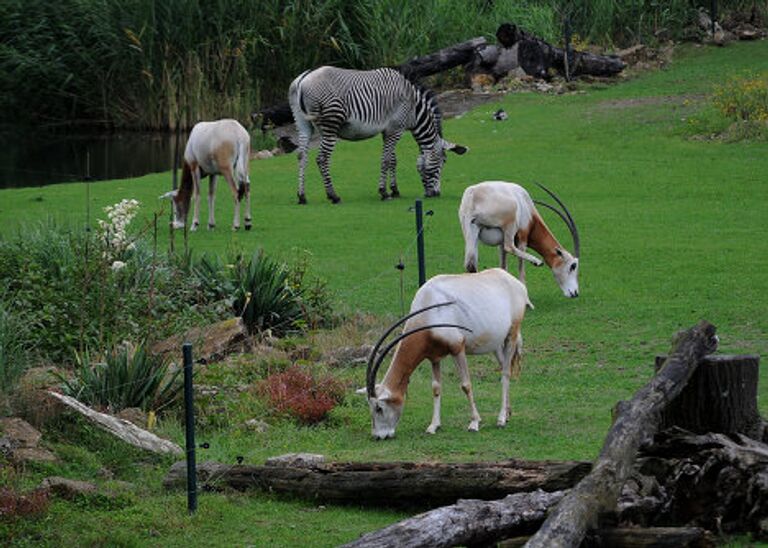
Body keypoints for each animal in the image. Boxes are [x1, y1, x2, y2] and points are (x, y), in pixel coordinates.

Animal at [288, 66, 468, 203]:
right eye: (443, 162)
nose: (435, 194)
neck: (414, 110)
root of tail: (303, 80)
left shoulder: (389, 130)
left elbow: (393, 160)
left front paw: (395, 190)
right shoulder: (396, 129)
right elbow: (386, 160)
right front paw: (384, 192)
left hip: (302, 123)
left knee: (301, 156)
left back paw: (302, 196)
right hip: (331, 123)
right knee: (322, 158)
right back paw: (333, 195)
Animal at [362, 270, 532, 440]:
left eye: (379, 408)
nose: (377, 436)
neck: (428, 306)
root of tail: (515, 282)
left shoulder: (458, 348)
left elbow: (466, 385)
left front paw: (474, 422)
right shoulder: (434, 356)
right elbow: (436, 388)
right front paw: (433, 425)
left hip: (511, 335)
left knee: (506, 373)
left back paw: (501, 419)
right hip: (496, 344)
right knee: (504, 366)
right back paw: (508, 413)